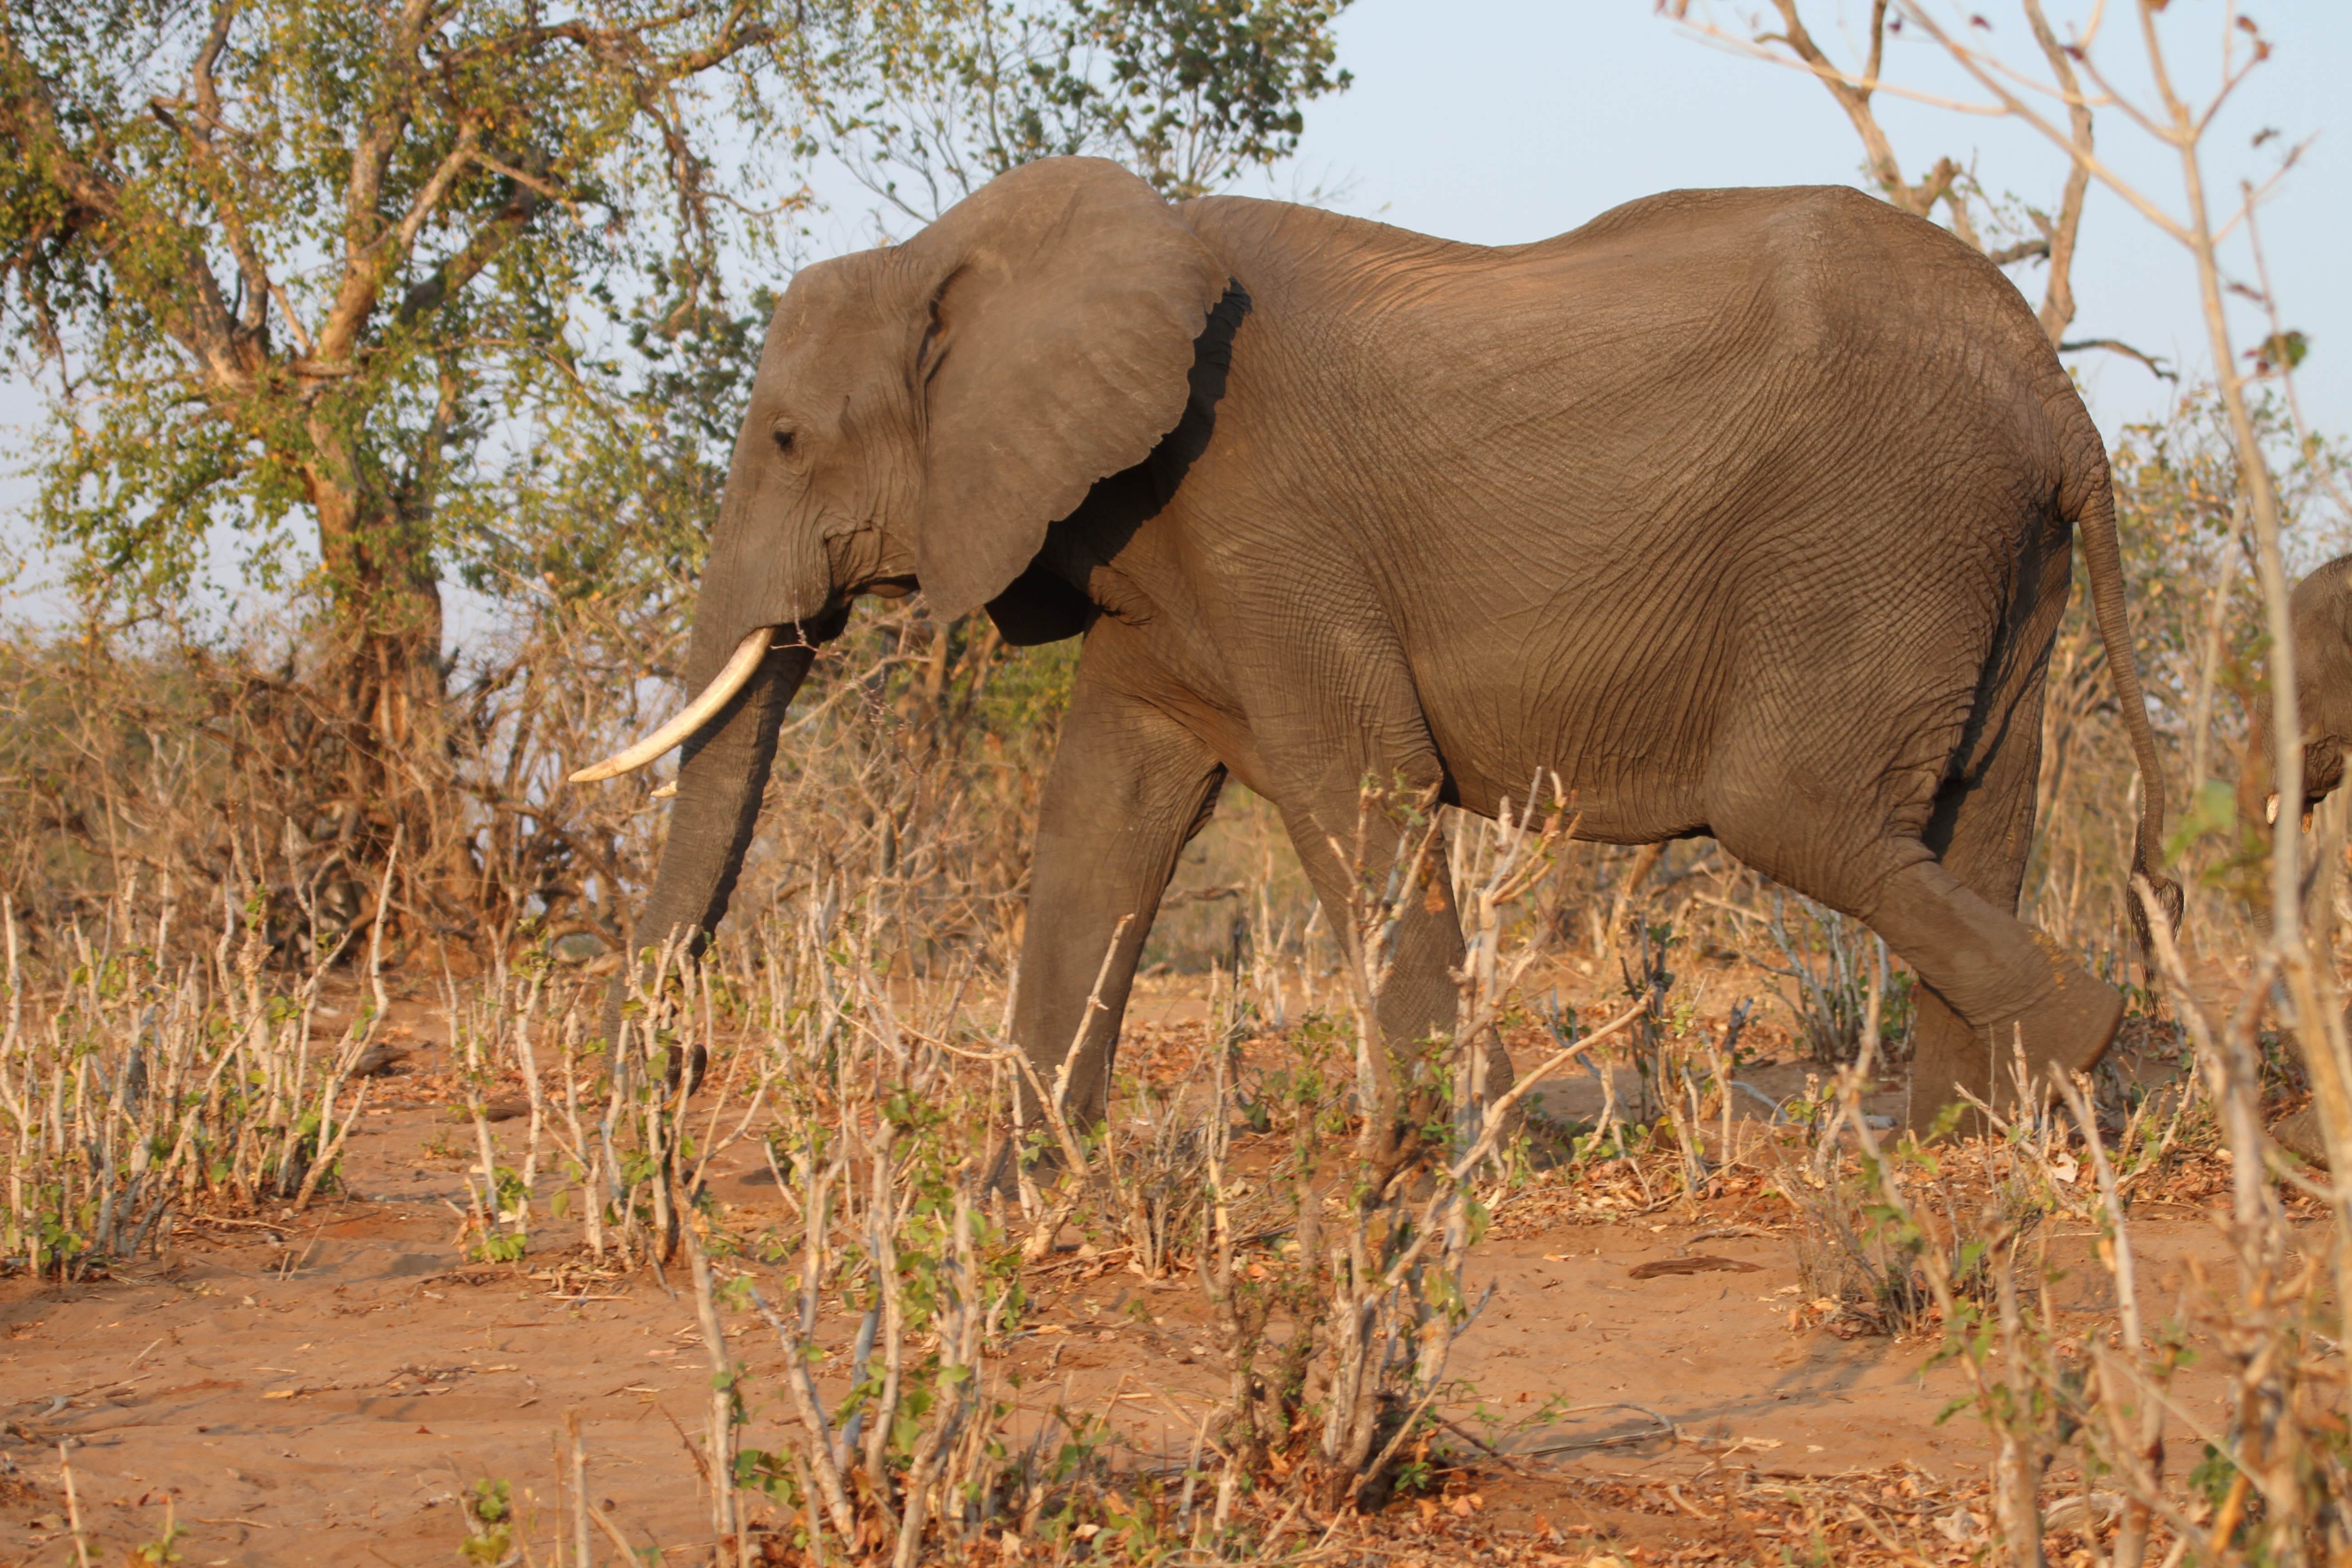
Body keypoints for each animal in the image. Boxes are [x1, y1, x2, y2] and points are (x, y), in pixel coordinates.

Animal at [571, 155, 2179, 1135]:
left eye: (788, 439)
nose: (675, 1082)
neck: (959, 252)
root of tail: (2060, 403)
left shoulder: (1257, 510)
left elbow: (1359, 785)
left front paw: (1450, 1154)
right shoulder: (1157, 556)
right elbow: (1105, 812)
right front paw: (1022, 1180)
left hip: (1882, 524)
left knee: (1796, 811)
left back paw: (2085, 1043)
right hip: (1988, 553)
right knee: (1979, 815)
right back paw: (1973, 1130)